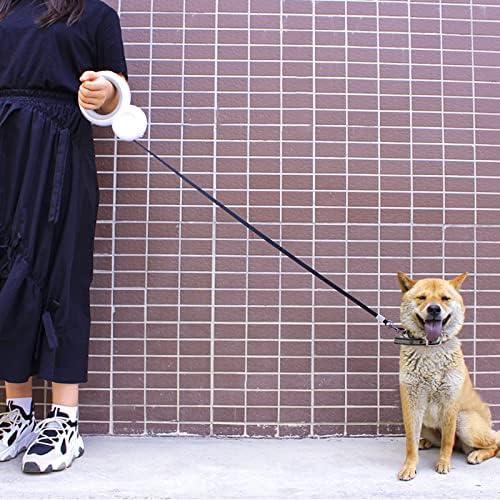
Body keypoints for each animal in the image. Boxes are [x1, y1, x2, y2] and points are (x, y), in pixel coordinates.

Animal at [396, 274, 498, 480]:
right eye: (422, 297)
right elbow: (410, 442)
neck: (431, 348)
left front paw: (443, 463)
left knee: (494, 443)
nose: (434, 309)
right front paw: (410, 466)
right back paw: (425, 442)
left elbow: (447, 441)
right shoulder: (412, 404)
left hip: (464, 420)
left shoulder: (450, 403)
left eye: (445, 298)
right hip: (426, 423)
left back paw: (477, 454)